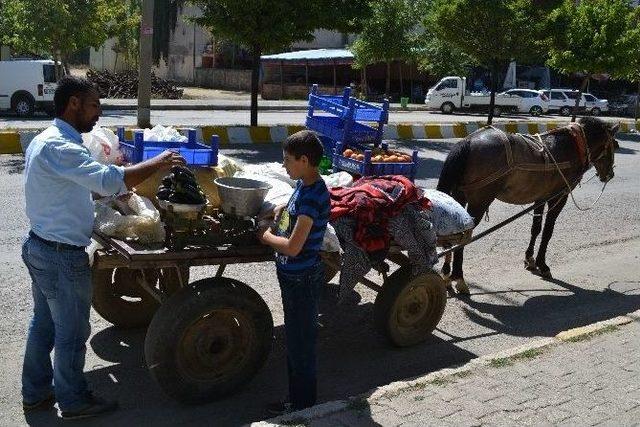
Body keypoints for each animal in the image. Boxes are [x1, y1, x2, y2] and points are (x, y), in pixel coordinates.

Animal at [438, 117, 616, 294]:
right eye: (615, 145)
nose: (610, 175)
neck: (572, 146)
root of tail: (468, 141)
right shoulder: (558, 197)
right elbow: (548, 231)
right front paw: (543, 264)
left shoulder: (540, 198)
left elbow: (536, 228)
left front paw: (530, 259)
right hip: (479, 201)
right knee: (463, 236)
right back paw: (458, 277)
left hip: (458, 197)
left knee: (451, 232)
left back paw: (446, 275)